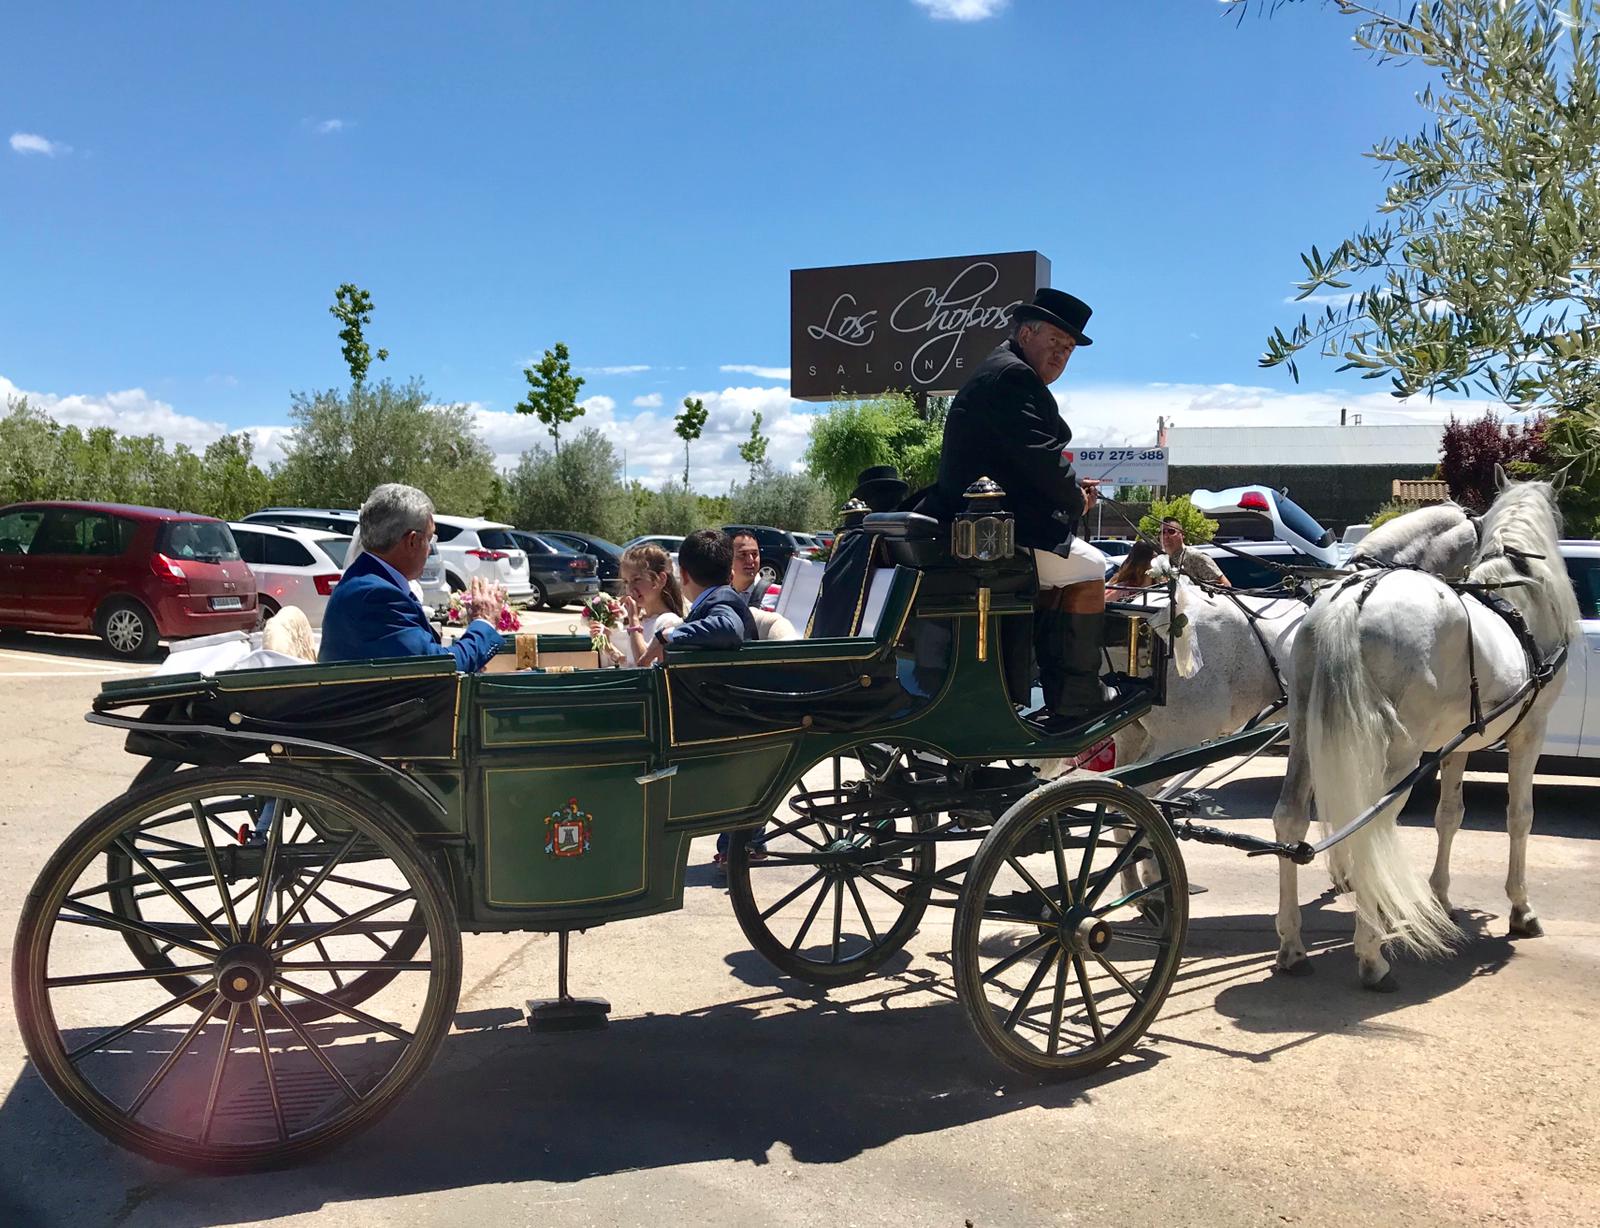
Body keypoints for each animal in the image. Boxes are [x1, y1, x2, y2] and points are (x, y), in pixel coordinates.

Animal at [1271, 474, 1579, 990]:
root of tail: (1352, 602)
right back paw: (1372, 957)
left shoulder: (1455, 745)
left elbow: (1449, 815)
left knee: (1290, 819)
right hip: (1399, 754)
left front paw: (1440, 898)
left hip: (1306, 738)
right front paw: (1521, 908)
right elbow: (1520, 817)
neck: (1518, 598)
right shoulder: (1529, 734)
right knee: (1370, 825)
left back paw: (1293, 946)